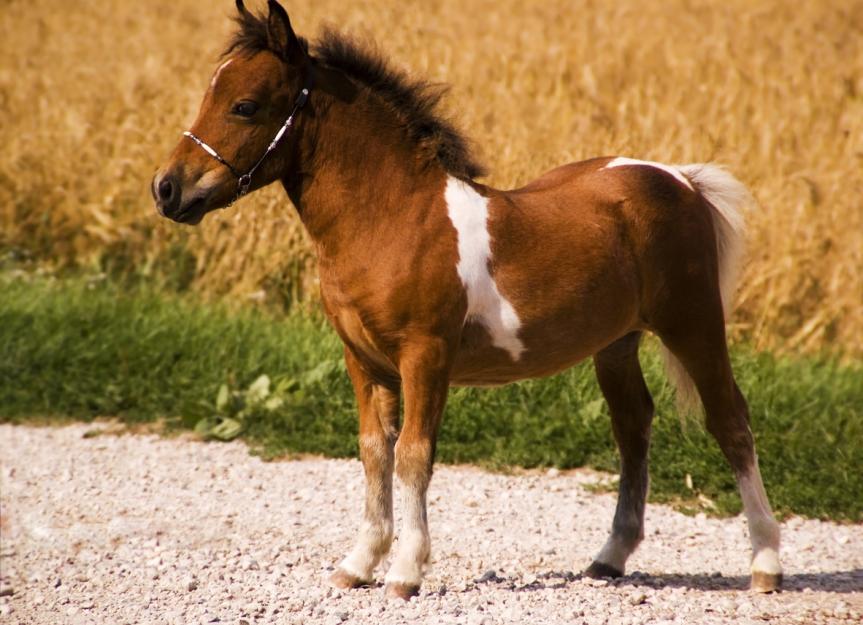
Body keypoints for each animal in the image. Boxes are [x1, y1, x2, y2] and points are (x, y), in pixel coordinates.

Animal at [152, 0, 782, 600]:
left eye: (245, 105)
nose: (167, 190)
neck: (393, 219)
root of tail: (682, 179)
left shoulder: (425, 357)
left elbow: (413, 454)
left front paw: (405, 573)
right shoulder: (364, 362)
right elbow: (373, 452)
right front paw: (357, 565)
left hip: (693, 324)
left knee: (731, 422)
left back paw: (765, 565)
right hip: (617, 344)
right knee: (633, 427)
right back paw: (609, 558)